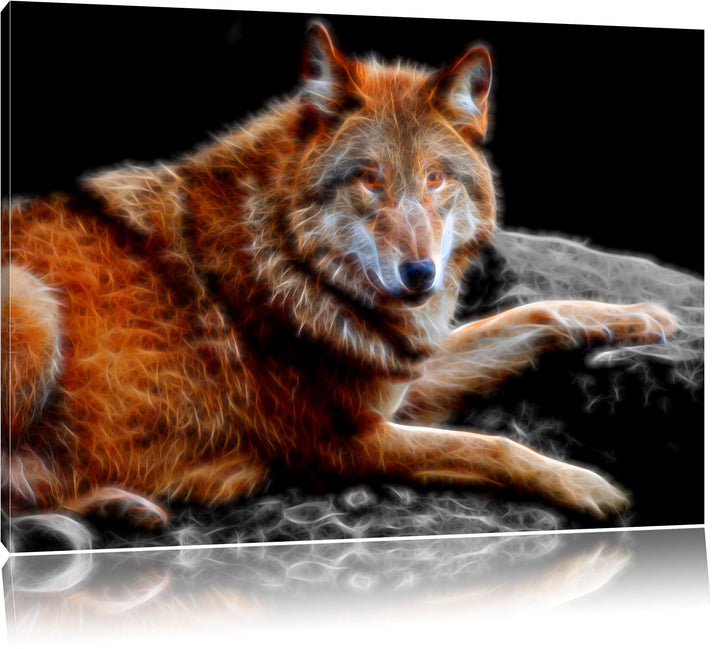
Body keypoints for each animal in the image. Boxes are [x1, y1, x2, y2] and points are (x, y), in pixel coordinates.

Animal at [1, 24, 677, 531]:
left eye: (435, 178)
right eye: (370, 179)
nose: (419, 274)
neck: (296, 264)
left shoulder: (403, 376)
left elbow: (534, 312)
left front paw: (636, 317)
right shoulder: (343, 443)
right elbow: (486, 445)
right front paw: (585, 484)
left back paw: (123, 506)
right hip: (32, 307)